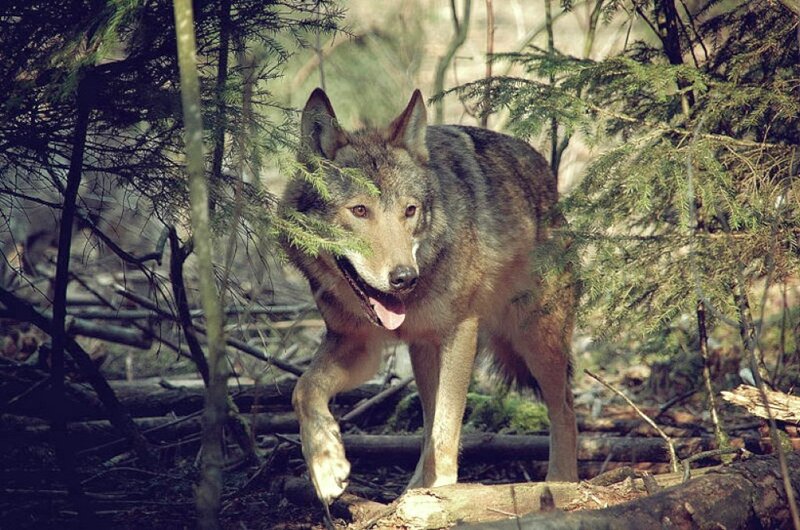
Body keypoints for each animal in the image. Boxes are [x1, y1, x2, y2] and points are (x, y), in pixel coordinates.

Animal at [282, 88, 579, 505]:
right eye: (359, 210)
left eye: (409, 210)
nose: (404, 278)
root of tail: (547, 180)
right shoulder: (358, 346)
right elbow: (303, 389)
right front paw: (325, 467)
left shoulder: (461, 331)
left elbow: (446, 431)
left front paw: (444, 494)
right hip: (423, 353)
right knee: (426, 422)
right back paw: (412, 490)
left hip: (538, 341)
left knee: (565, 409)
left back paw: (562, 484)